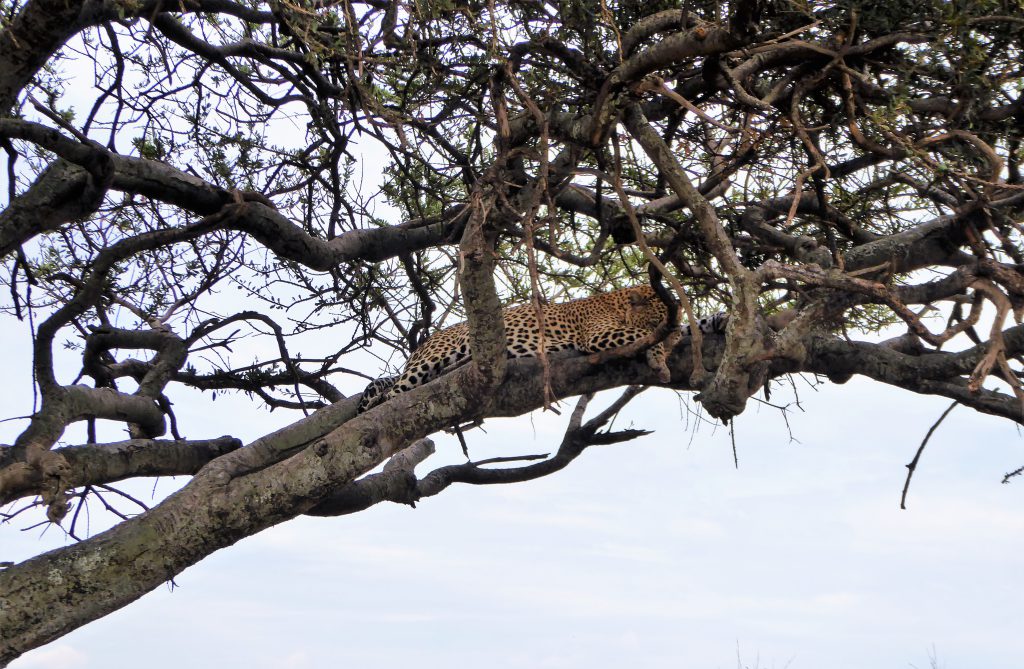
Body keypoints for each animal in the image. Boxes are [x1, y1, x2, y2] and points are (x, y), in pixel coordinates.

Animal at [356, 282, 724, 411]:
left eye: (675, 327)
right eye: (661, 326)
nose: (673, 344)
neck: (619, 301)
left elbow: (696, 326)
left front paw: (718, 319)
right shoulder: (597, 334)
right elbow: (639, 338)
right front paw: (659, 358)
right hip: (428, 361)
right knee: (388, 395)